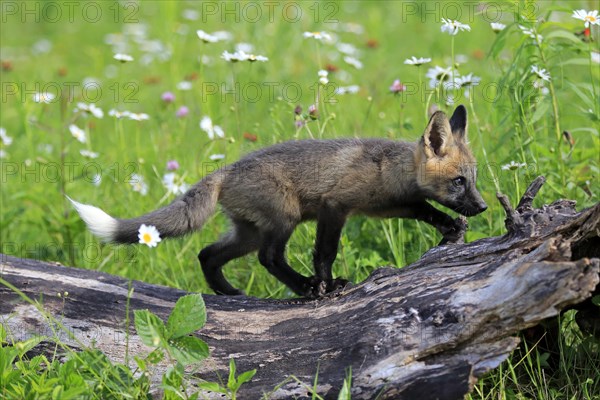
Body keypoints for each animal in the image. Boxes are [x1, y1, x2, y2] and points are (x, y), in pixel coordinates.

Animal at [69, 104, 488, 298]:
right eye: (458, 181)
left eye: (474, 181)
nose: (483, 207)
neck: (388, 171)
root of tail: (227, 169)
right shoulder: (335, 207)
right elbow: (325, 253)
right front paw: (326, 286)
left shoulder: (393, 206)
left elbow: (426, 210)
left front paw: (451, 227)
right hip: (284, 220)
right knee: (268, 258)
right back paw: (303, 288)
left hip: (250, 232)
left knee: (207, 254)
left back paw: (228, 293)